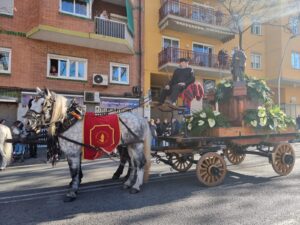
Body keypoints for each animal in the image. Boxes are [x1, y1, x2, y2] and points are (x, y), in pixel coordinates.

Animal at [23, 88, 151, 202]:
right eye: (31, 103)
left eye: (43, 104)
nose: (28, 123)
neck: (69, 121)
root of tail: (141, 119)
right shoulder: (74, 152)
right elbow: (76, 170)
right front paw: (75, 184)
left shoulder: (73, 152)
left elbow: (74, 171)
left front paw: (72, 191)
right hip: (129, 145)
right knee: (133, 163)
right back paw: (128, 182)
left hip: (136, 145)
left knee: (139, 163)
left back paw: (136, 186)